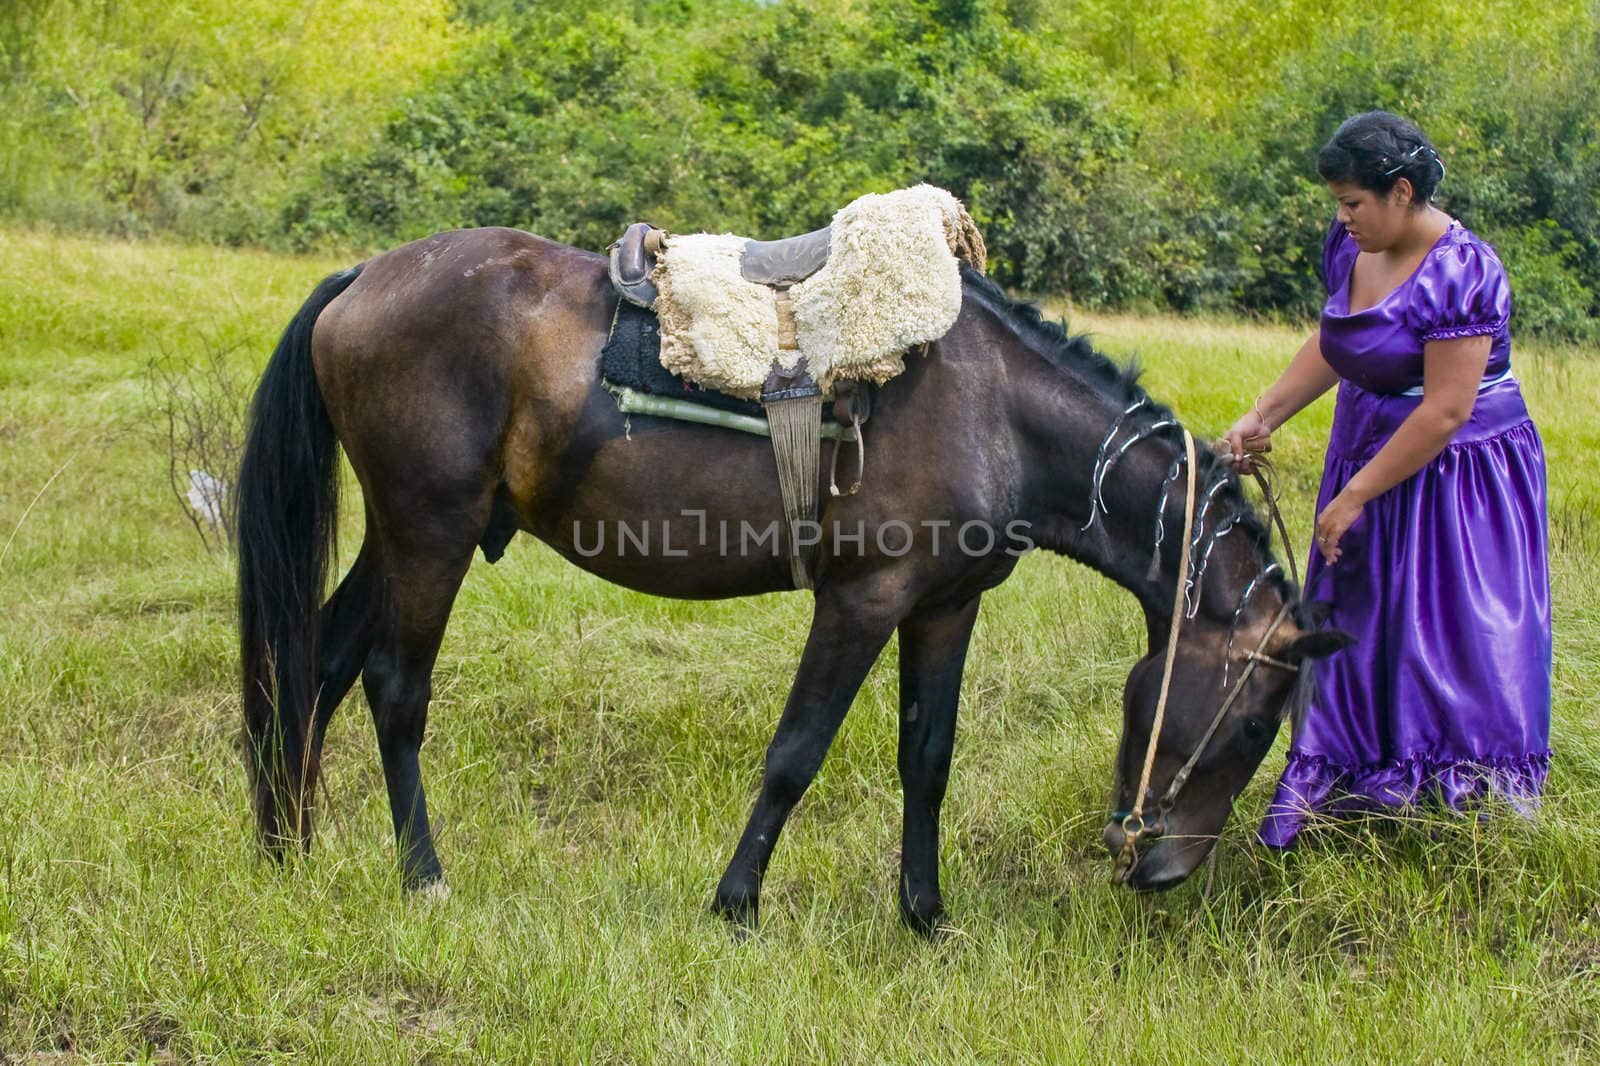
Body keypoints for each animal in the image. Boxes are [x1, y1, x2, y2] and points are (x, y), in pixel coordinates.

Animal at [236, 225, 1356, 928]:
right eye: (1253, 726)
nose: (1162, 869)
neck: (995, 407)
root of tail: (363, 278)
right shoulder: (861, 602)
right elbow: (794, 754)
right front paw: (735, 903)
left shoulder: (945, 608)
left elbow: (928, 759)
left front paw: (924, 914)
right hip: (432, 529)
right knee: (395, 689)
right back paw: (421, 875)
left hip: (403, 536)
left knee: (317, 663)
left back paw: (289, 846)